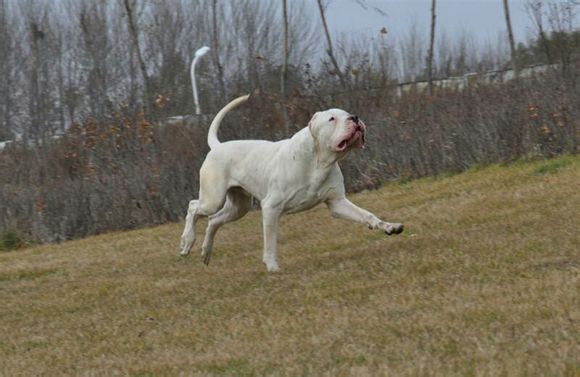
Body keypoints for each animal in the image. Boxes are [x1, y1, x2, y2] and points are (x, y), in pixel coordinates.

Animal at [180, 94, 404, 270]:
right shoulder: (271, 208)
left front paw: (389, 227)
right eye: (332, 118)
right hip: (213, 199)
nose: (355, 117)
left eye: (347, 113)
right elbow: (270, 242)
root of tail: (217, 146)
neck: (319, 160)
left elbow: (367, 215)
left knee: (213, 221)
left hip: (238, 207)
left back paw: (206, 251)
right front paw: (272, 267)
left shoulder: (338, 203)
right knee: (193, 207)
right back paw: (187, 242)